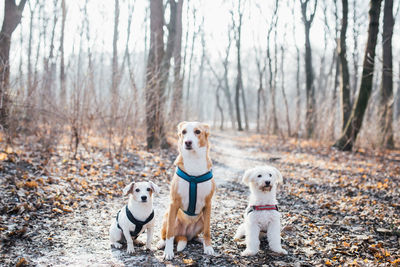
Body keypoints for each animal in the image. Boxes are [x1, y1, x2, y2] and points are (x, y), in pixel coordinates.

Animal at [158, 122, 217, 260]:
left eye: (197, 131)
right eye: (184, 132)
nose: (188, 142)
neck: (193, 161)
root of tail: (184, 234)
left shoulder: (208, 204)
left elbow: (207, 231)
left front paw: (208, 247)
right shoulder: (173, 203)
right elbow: (169, 233)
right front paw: (168, 252)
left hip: (202, 219)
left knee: (196, 235)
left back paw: (200, 240)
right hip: (168, 216)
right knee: (166, 234)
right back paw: (162, 243)